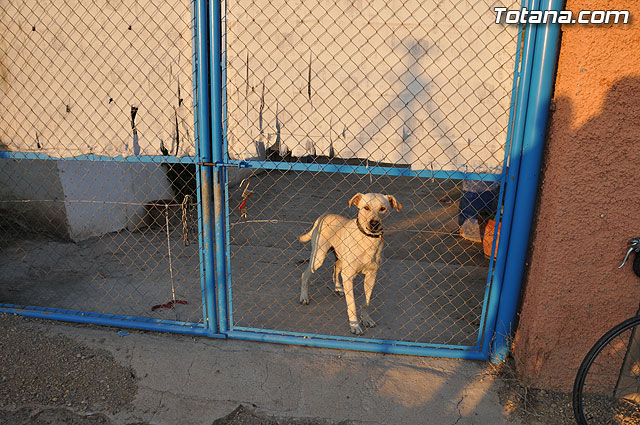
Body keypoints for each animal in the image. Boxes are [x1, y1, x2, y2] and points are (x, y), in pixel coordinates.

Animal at [299, 193, 402, 335]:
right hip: (318, 258)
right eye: (366, 207)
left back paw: (338, 288)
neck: (368, 240)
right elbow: (352, 304)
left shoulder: (371, 277)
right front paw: (355, 325)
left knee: (336, 269)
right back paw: (304, 297)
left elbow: (366, 302)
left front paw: (366, 319)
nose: (374, 223)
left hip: (341, 259)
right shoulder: (349, 277)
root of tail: (324, 215)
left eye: (382, 209)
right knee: (305, 274)